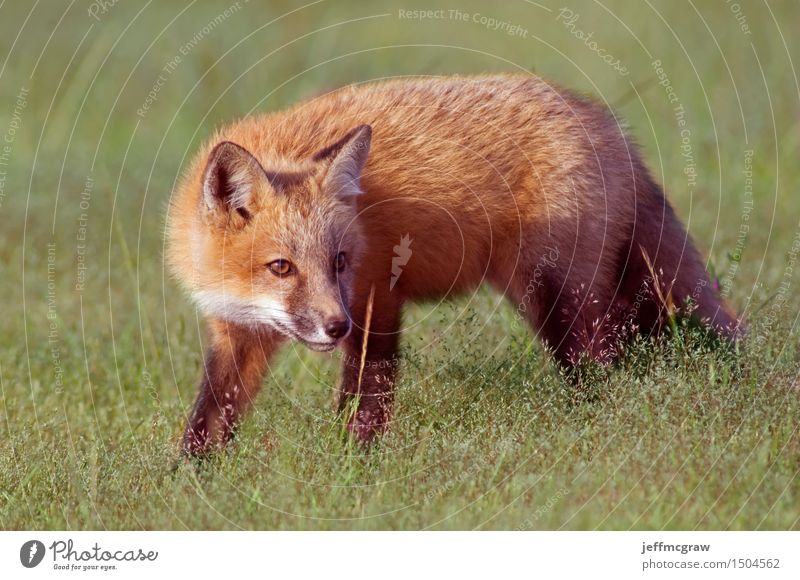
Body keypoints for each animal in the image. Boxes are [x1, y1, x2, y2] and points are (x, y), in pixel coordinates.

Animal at [166, 72, 740, 456]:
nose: (335, 326)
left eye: (340, 261)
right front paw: (192, 483)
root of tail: (610, 126)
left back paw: (593, 433)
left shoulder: (376, 301)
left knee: (602, 369)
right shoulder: (235, 332)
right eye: (281, 267)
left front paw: (349, 469)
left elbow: (363, 401)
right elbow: (208, 419)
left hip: (558, 299)